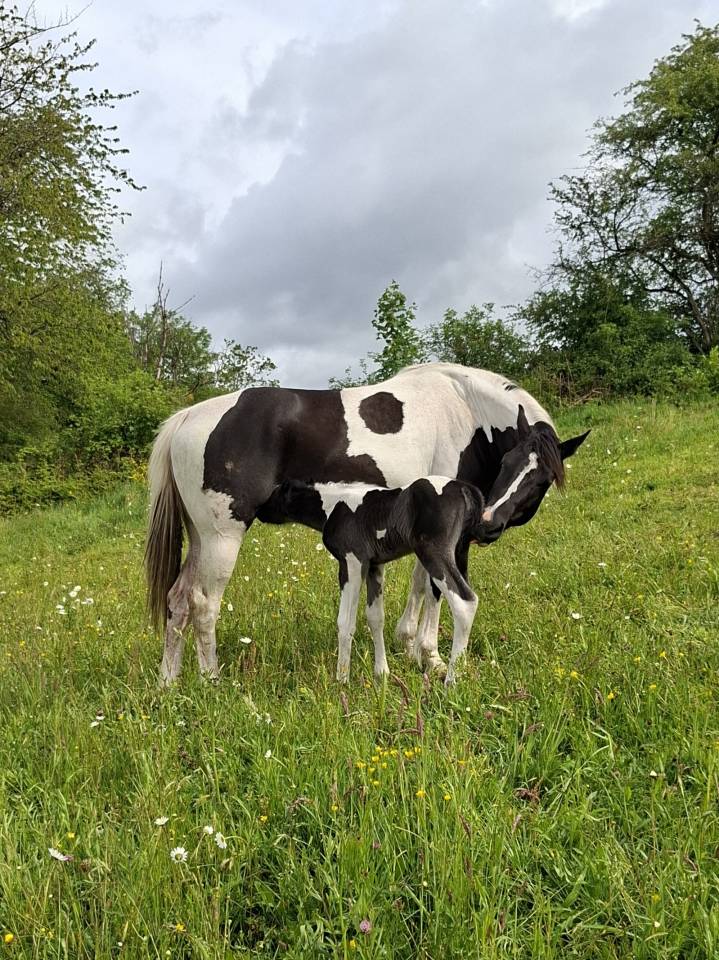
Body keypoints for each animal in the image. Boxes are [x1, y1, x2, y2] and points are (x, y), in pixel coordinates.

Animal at [256, 476, 487, 685]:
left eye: (275, 493)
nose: (258, 512)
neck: (332, 506)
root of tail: (465, 489)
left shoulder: (352, 561)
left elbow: (345, 621)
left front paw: (342, 679)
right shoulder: (374, 566)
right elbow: (375, 617)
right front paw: (382, 673)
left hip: (434, 552)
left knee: (465, 601)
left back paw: (452, 681)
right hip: (459, 552)